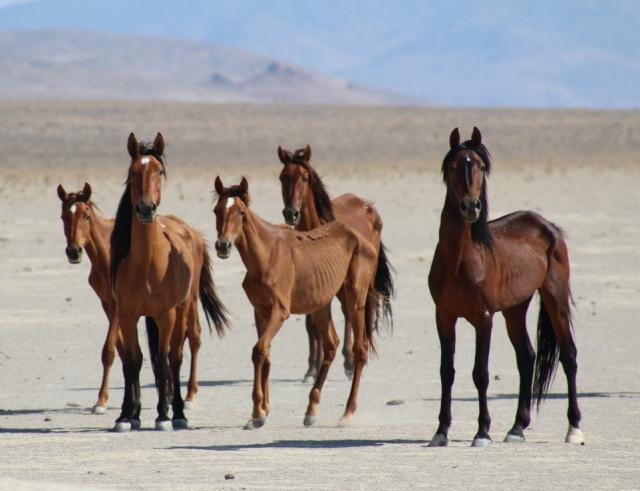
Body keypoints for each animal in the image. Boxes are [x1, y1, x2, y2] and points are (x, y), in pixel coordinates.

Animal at [57, 183, 206, 414]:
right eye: (64, 216)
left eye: (86, 216)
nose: (74, 251)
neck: (108, 252)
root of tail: (192, 232)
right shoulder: (109, 304)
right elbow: (123, 351)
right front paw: (128, 400)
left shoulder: (119, 306)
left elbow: (109, 350)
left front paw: (101, 401)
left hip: (190, 299)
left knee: (194, 337)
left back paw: (189, 395)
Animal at [109, 133, 229, 432]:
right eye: (132, 172)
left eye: (159, 172)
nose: (145, 208)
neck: (147, 264)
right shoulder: (127, 315)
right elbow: (133, 361)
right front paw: (127, 416)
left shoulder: (165, 315)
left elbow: (163, 361)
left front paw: (163, 416)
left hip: (184, 309)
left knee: (175, 357)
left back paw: (178, 413)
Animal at [212, 177, 380, 430]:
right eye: (216, 211)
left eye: (241, 212)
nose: (223, 246)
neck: (267, 254)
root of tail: (362, 237)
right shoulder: (260, 311)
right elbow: (266, 353)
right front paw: (263, 410)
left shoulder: (280, 312)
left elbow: (259, 350)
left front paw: (257, 414)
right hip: (321, 305)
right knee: (331, 343)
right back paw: (311, 410)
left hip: (354, 298)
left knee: (360, 349)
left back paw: (347, 413)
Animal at [276, 144, 392, 382]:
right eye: (282, 177)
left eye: (305, 177)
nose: (291, 213)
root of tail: (368, 206)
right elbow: (311, 324)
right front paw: (312, 368)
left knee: (350, 314)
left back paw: (349, 362)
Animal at [428, 128, 584, 450]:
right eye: (453, 167)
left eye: (480, 166)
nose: (471, 207)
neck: (460, 259)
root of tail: (548, 226)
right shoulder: (444, 317)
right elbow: (446, 371)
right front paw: (441, 431)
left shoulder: (483, 318)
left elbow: (480, 373)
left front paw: (482, 432)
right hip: (515, 309)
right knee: (526, 357)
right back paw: (517, 428)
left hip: (555, 299)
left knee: (569, 355)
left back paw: (574, 429)